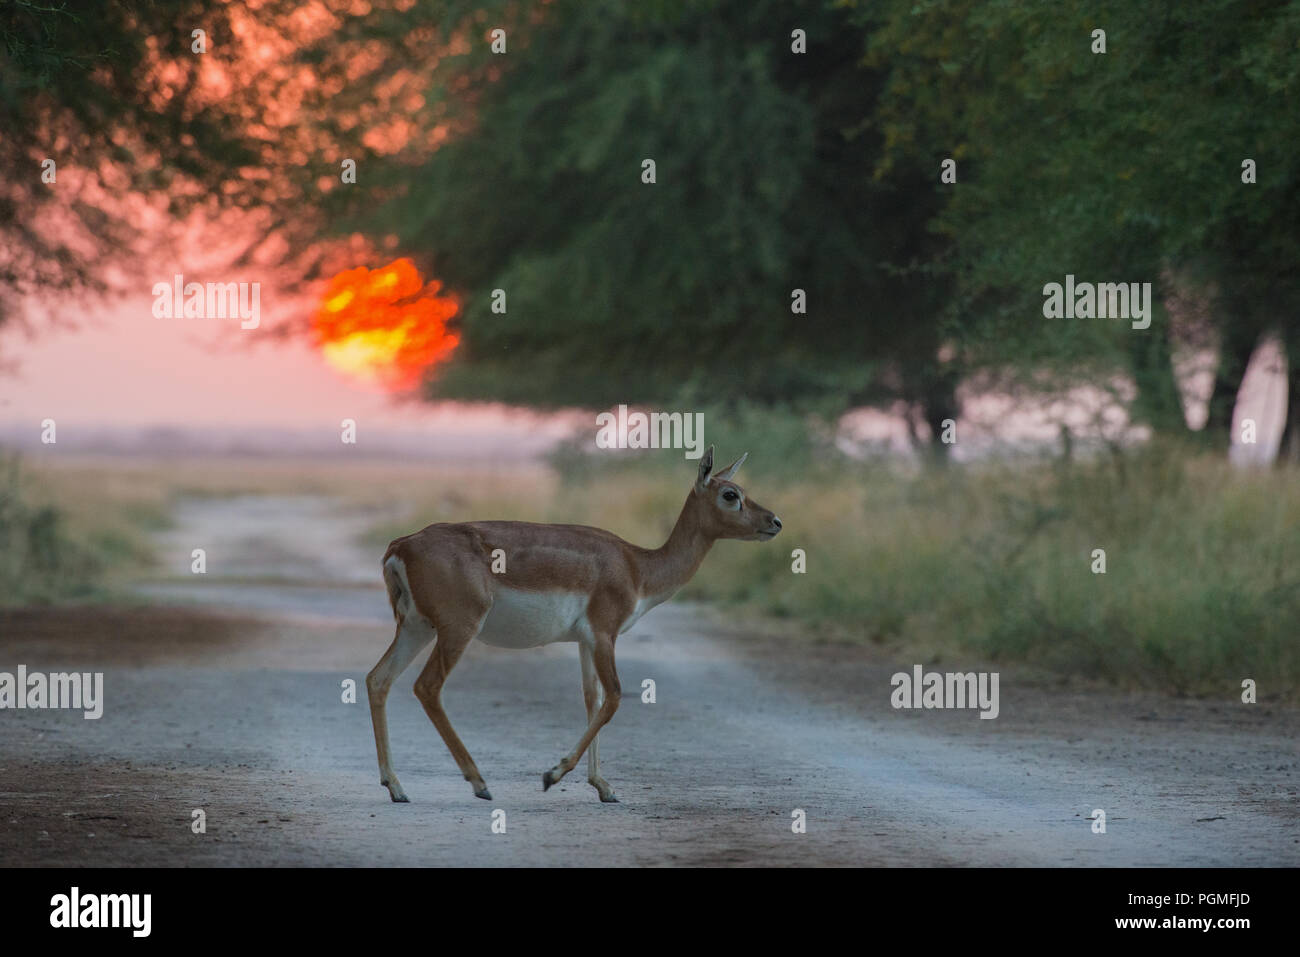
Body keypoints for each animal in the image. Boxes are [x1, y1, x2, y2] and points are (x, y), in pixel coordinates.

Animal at [364, 444, 780, 806]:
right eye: (730, 494)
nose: (774, 522)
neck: (638, 568)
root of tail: (400, 547)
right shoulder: (605, 633)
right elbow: (614, 698)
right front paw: (553, 775)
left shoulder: (584, 640)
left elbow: (590, 699)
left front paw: (603, 787)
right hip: (457, 628)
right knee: (427, 686)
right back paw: (479, 783)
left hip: (416, 627)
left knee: (378, 679)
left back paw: (396, 787)